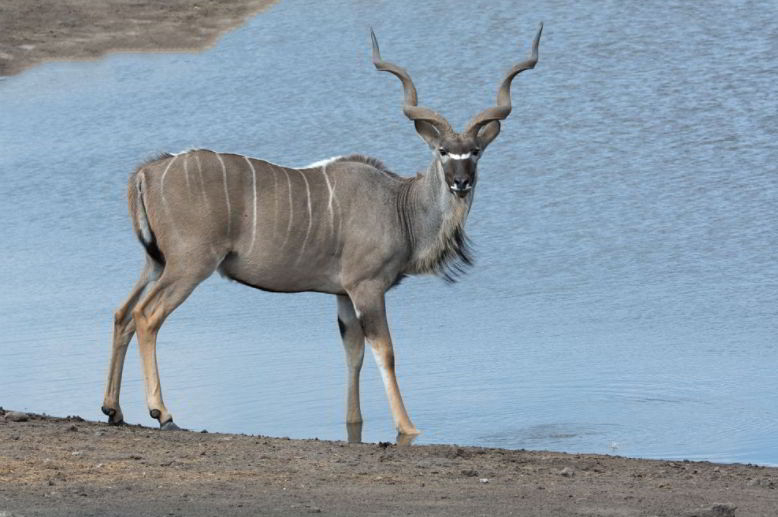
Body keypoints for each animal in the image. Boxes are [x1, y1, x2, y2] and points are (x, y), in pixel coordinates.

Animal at [101, 25, 540, 436]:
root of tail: (148, 171)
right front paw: (407, 427)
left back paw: (113, 409)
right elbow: (385, 351)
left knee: (122, 312)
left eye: (476, 152)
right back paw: (163, 413)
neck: (398, 204)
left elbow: (353, 352)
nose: (461, 183)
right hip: (189, 265)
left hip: (156, 262)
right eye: (443, 152)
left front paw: (353, 423)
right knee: (146, 316)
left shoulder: (343, 294)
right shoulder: (367, 287)